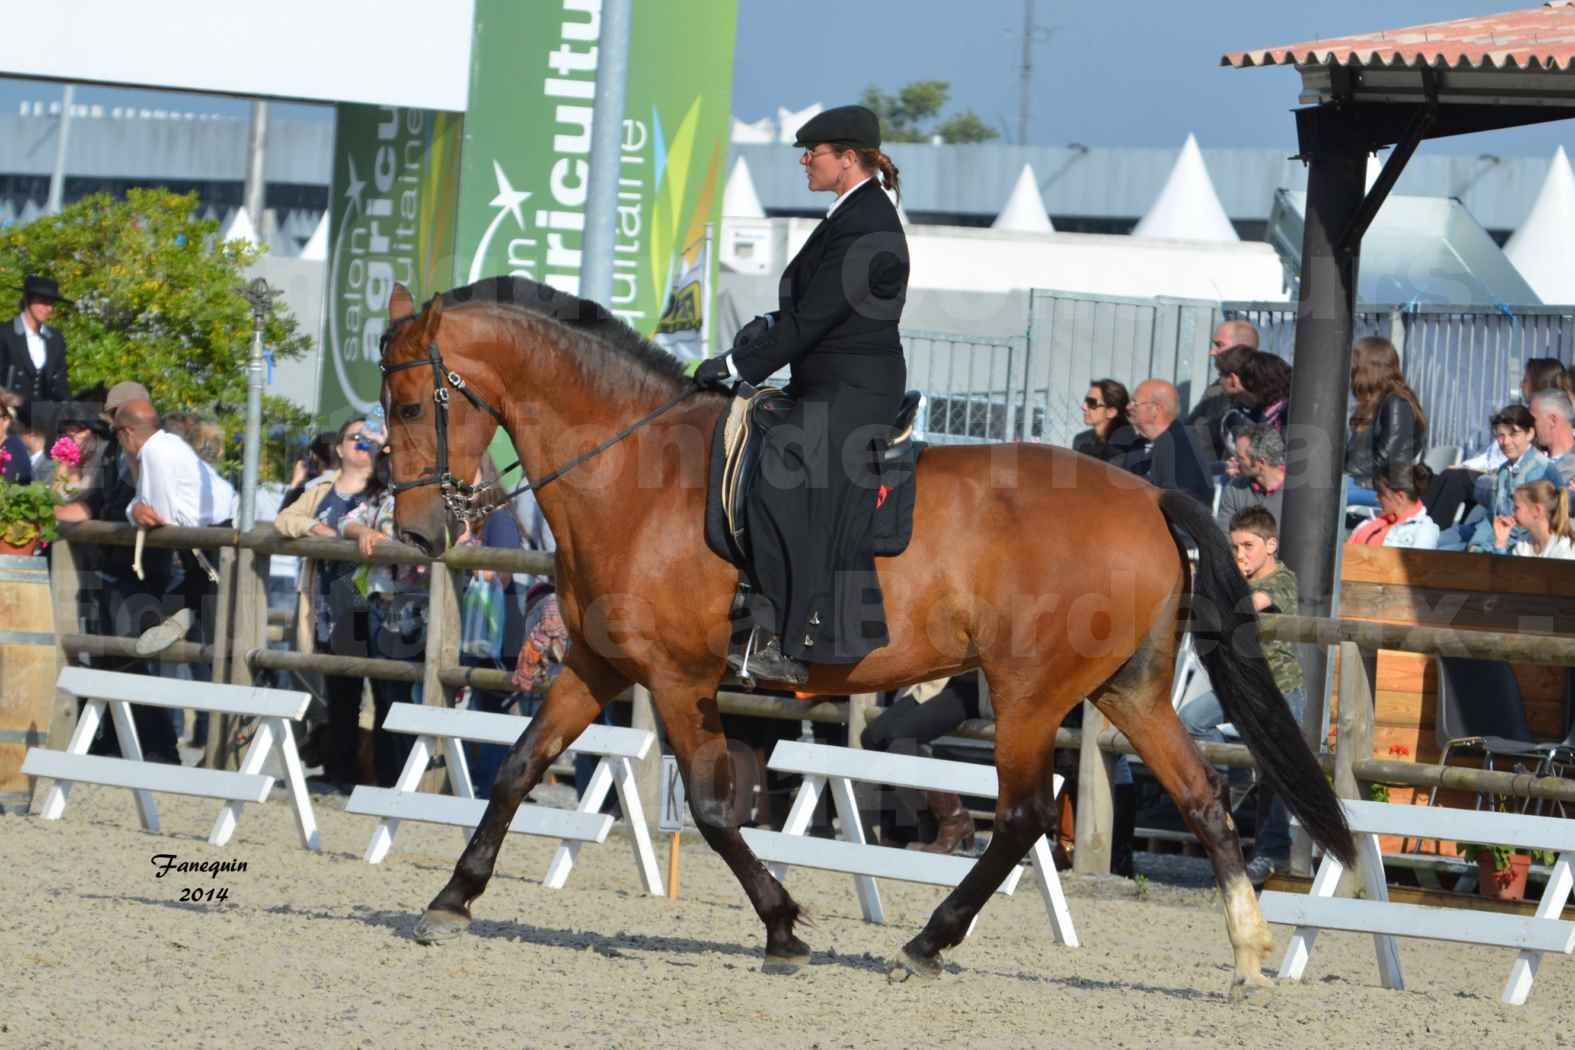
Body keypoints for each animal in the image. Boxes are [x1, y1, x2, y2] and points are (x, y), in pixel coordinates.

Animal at [374, 275, 1348, 988]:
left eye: (413, 405)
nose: (417, 533)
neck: (633, 472)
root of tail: (1146, 494)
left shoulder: (679, 677)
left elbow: (715, 807)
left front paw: (782, 928)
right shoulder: (598, 664)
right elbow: (520, 765)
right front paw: (451, 899)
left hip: (1030, 691)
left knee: (1025, 814)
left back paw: (925, 943)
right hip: (1127, 688)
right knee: (1199, 797)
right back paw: (1248, 956)